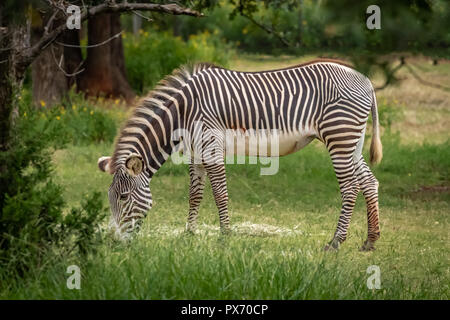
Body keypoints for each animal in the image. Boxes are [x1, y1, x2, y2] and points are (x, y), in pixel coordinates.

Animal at [98, 59, 384, 250]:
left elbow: (219, 194)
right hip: (351, 140)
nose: (114, 243)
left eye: (123, 197)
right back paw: (370, 240)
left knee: (350, 187)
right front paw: (189, 234)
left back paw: (335, 242)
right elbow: (195, 194)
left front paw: (225, 236)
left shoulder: (211, 145)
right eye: (110, 198)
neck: (183, 111)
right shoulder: (195, 152)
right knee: (368, 182)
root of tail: (366, 80)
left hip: (339, 136)